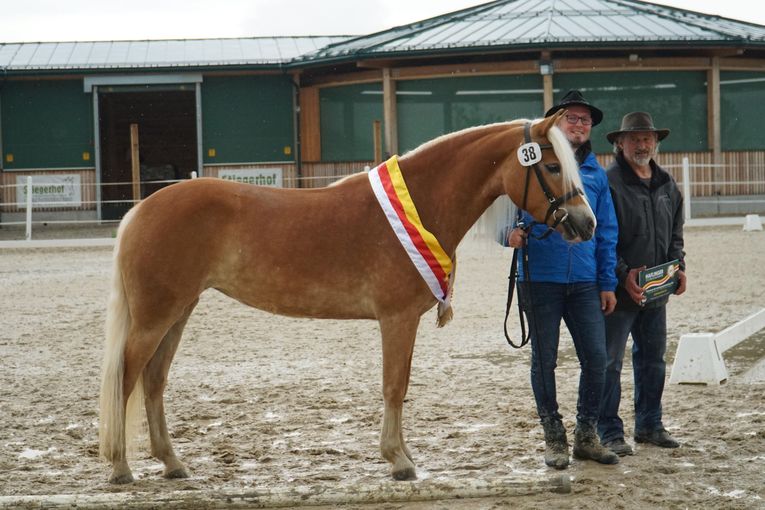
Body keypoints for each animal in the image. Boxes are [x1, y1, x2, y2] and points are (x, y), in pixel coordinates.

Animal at [98, 109, 592, 484]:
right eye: (551, 167)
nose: (586, 225)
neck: (422, 204)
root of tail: (141, 210)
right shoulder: (397, 319)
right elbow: (395, 385)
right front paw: (399, 460)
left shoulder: (403, 321)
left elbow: (399, 385)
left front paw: (401, 455)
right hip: (155, 316)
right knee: (127, 377)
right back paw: (120, 468)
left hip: (179, 311)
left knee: (154, 381)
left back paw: (173, 463)